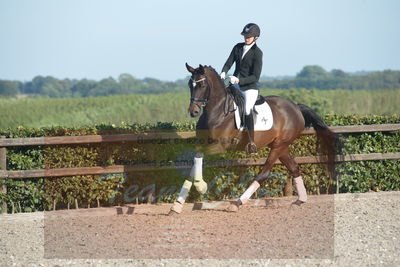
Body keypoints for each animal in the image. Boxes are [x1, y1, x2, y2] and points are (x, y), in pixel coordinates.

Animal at [169, 63, 338, 216]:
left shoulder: (220, 145)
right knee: (294, 168)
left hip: (279, 146)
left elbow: (198, 155)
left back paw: (237, 203)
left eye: (202, 84)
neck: (217, 110)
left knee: (264, 173)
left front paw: (201, 186)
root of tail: (296, 107)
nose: (193, 111)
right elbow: (194, 162)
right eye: (190, 84)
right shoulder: (203, 143)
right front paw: (177, 205)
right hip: (281, 147)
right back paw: (300, 200)